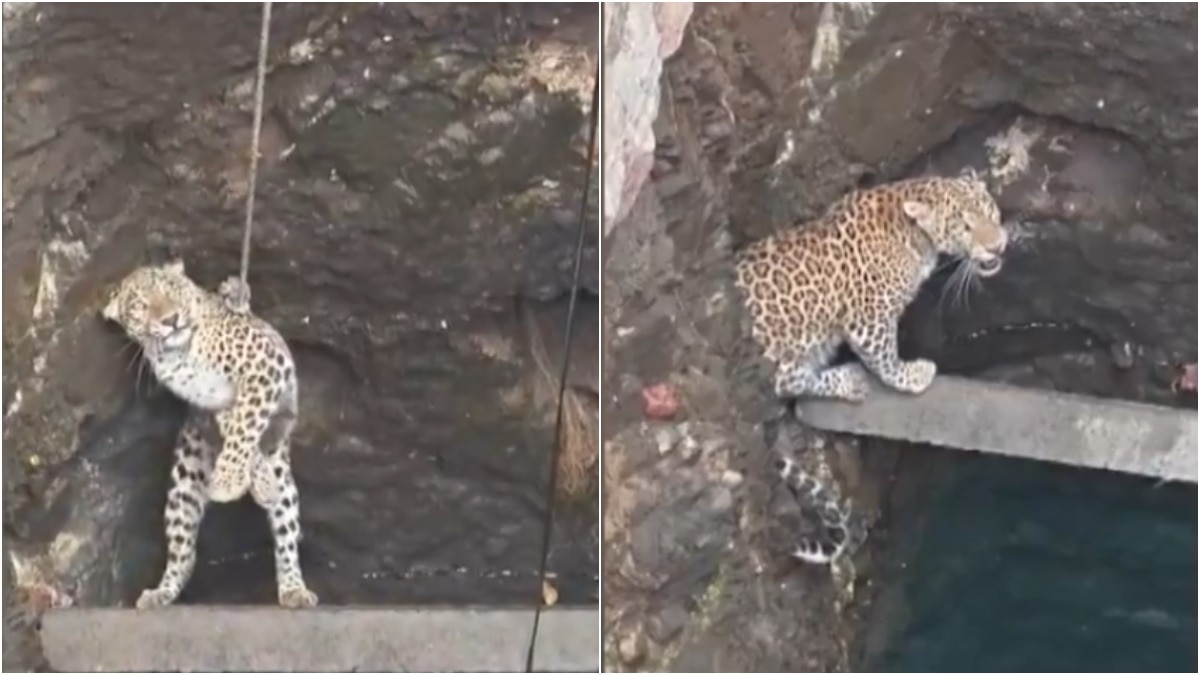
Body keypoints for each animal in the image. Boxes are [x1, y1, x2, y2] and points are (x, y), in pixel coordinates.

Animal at [102, 259, 317, 609]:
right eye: (140, 306)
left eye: (171, 290)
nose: (170, 320)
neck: (176, 354)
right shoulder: (216, 402)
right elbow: (240, 432)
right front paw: (250, 480)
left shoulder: (263, 369)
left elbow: (245, 429)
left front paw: (230, 482)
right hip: (184, 485)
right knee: (184, 554)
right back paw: (162, 592)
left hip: (284, 484)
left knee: (286, 535)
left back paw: (293, 587)